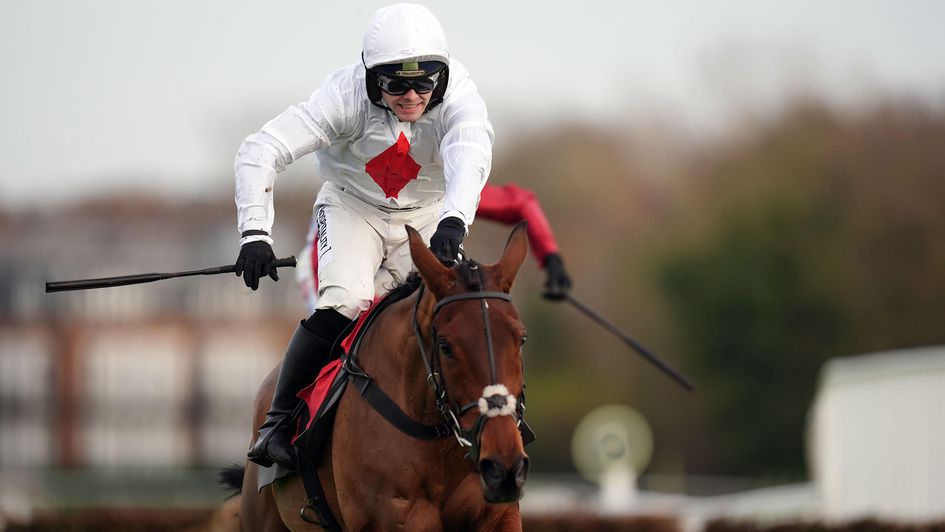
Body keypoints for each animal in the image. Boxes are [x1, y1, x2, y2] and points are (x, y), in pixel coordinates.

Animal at [238, 222, 532, 528]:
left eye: (521, 339)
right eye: (445, 346)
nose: (503, 466)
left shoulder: (500, 516)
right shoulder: (392, 518)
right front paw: (256, 250)